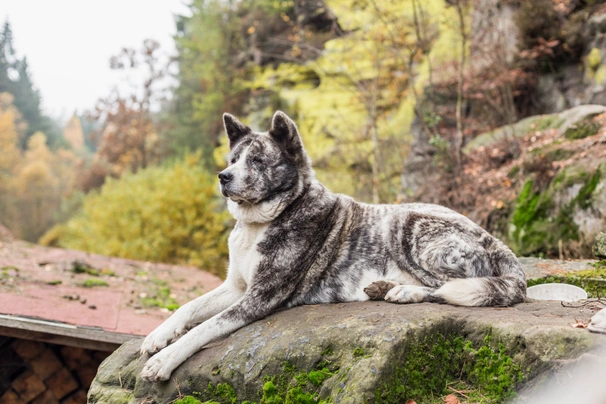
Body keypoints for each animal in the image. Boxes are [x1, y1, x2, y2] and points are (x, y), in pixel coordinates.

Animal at [139, 110, 528, 382]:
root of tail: (495, 241)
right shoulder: (236, 287)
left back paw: (403, 291)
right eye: (233, 159)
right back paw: (383, 286)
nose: (223, 177)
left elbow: (204, 327)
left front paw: (163, 361)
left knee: (447, 287)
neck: (265, 219)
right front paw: (157, 337)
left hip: (409, 224)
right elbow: (188, 308)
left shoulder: (257, 298)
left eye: (258, 161)